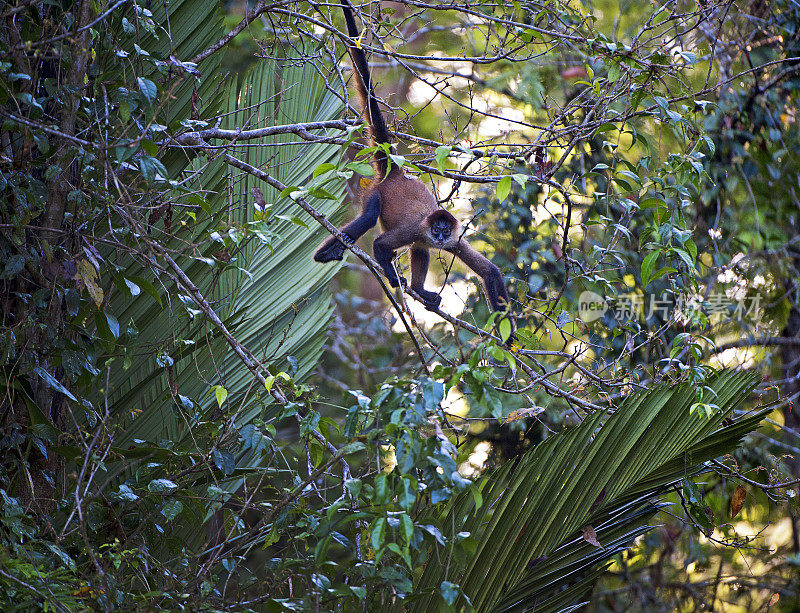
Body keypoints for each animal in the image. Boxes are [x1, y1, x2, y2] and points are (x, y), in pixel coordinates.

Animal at [314, 0, 512, 322]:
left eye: (445, 231)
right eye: (437, 229)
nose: (440, 237)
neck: (431, 230)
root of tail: (396, 173)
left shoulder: (454, 239)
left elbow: (490, 271)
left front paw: (507, 334)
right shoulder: (417, 229)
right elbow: (380, 244)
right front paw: (394, 279)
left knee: (421, 250)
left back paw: (421, 292)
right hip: (375, 193)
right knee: (371, 218)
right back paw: (327, 254)